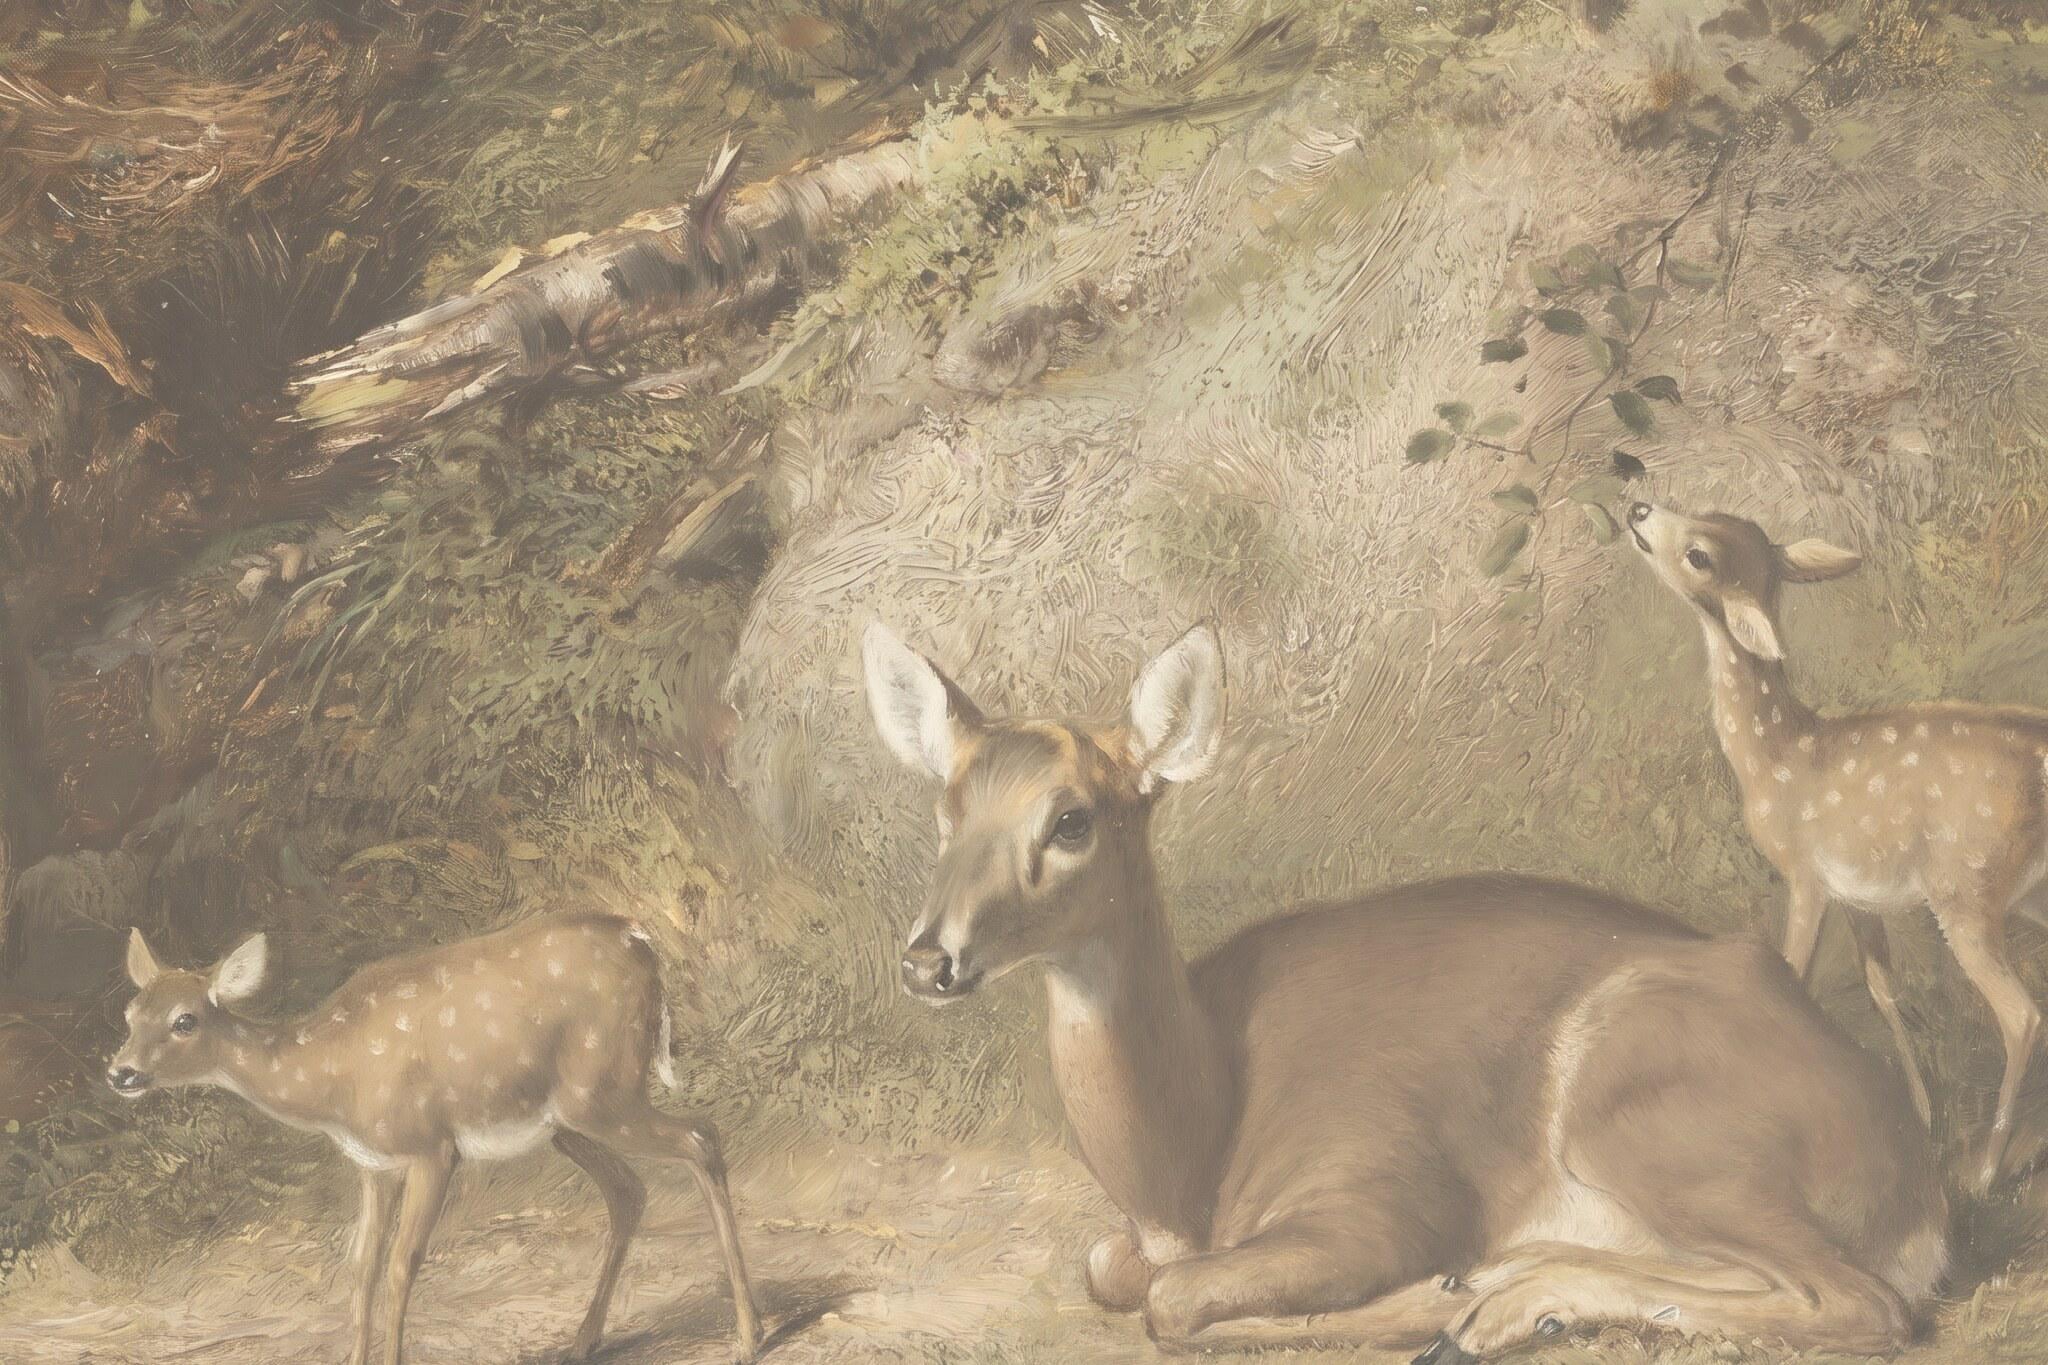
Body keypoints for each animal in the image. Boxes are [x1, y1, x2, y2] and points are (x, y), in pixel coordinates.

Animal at [107, 913, 763, 1365]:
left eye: (185, 1020)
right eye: (130, 1014)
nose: (120, 1073)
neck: (331, 1080)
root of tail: (643, 941)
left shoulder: (431, 1147)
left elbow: (404, 1263)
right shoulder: (373, 1165)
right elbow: (362, 1266)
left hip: (603, 1086)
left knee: (702, 1137)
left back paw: (749, 1336)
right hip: (566, 1122)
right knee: (630, 1188)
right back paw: (584, 1341)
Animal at [860, 620, 1946, 1362]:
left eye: (1071, 820)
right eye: (947, 811)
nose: (925, 959)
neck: (1193, 1161)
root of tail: (1919, 1188)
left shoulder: (1376, 1188)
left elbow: (1175, 1302)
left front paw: (1434, 1296)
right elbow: (1108, 1270)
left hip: (1650, 1115)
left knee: (1864, 1301)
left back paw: (1489, 1303)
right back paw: (1515, 1291)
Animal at [1627, 501, 2048, 1191]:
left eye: (1699, 555)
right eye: (1715, 512)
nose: (1638, 507)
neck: (1774, 759)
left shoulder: (1804, 875)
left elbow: (1791, 976)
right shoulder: (1858, 896)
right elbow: (1883, 992)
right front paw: (1920, 1116)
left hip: (1967, 886)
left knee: (2021, 1015)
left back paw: (1985, 1172)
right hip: (2026, 889)